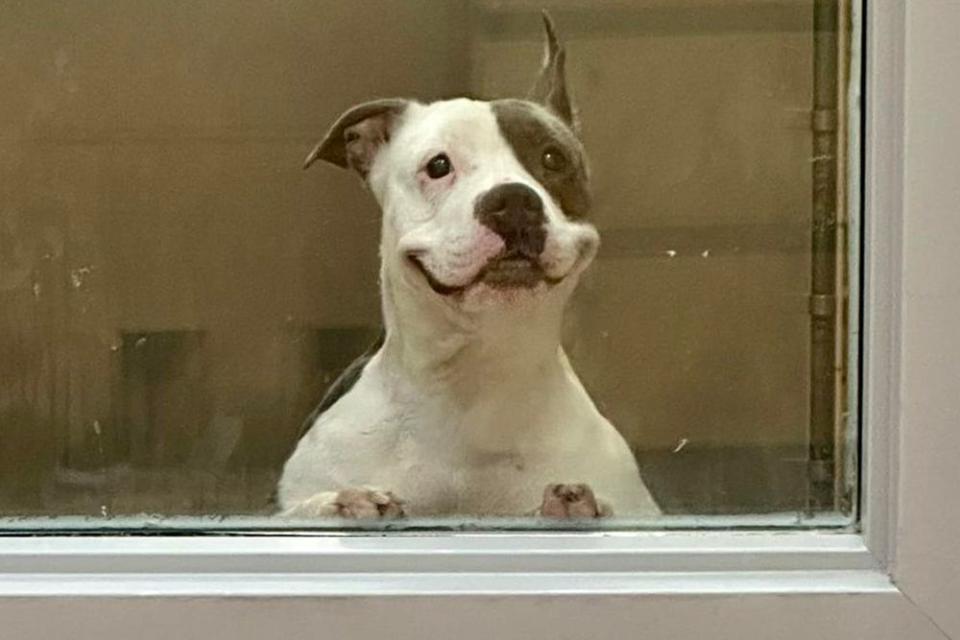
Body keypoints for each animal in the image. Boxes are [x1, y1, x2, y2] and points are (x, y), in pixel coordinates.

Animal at [274, 12, 656, 520]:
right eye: (438, 165)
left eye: (552, 158)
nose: (513, 201)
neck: (474, 382)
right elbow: (310, 506)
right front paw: (350, 502)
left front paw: (574, 505)